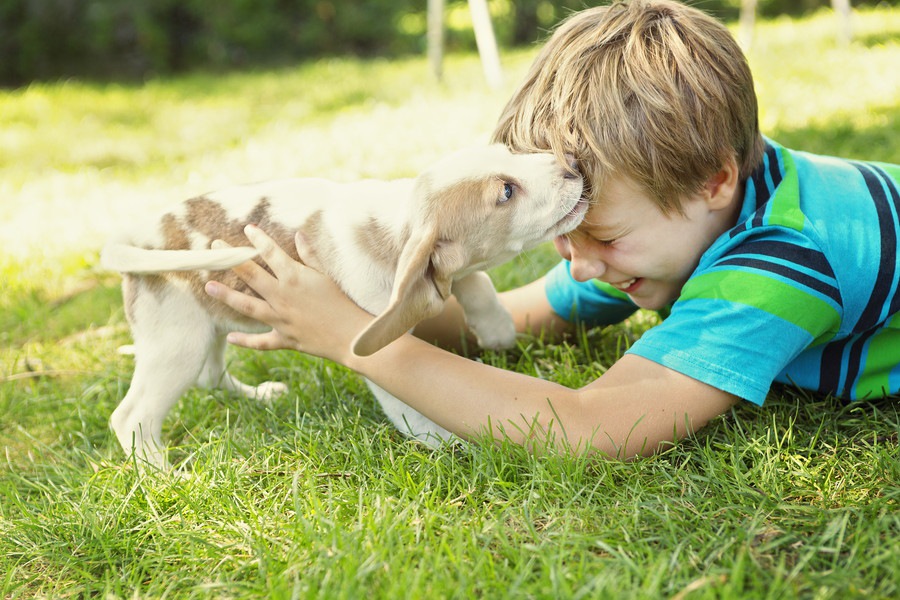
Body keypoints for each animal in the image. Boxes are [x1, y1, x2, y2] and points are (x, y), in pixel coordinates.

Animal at [102, 145, 588, 468]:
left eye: (510, 151)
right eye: (506, 192)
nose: (571, 164)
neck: (394, 223)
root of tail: (138, 238)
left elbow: (476, 280)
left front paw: (496, 328)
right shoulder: (382, 348)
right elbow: (411, 408)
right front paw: (450, 444)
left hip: (208, 325)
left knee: (210, 376)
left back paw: (257, 395)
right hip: (177, 342)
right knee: (131, 417)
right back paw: (162, 475)